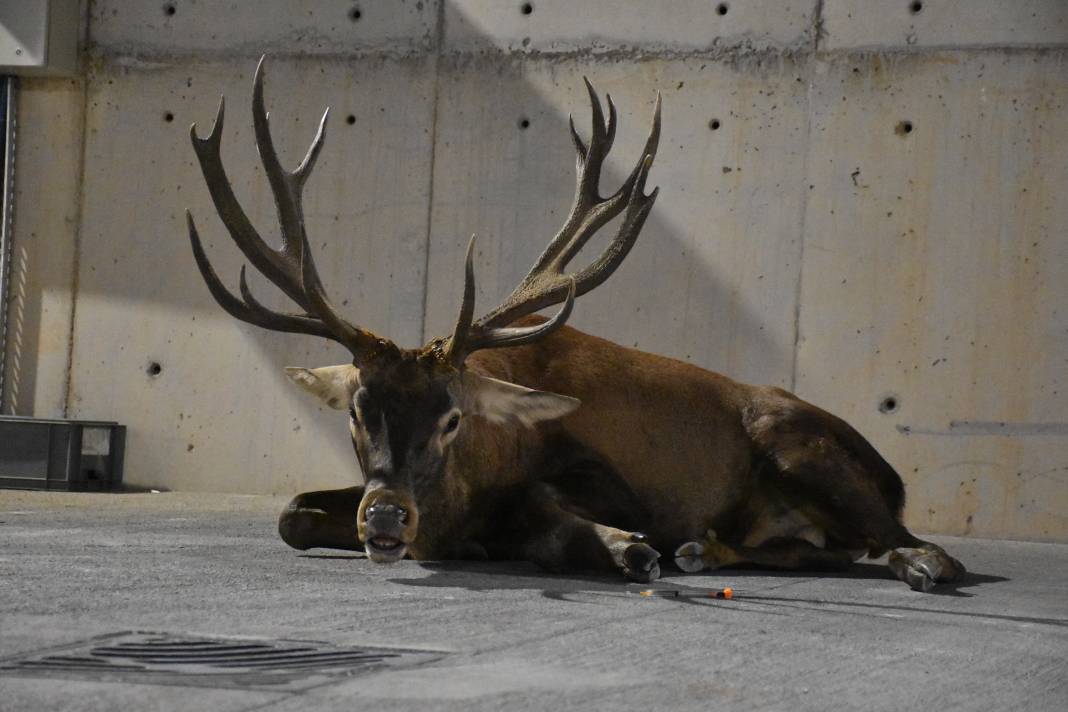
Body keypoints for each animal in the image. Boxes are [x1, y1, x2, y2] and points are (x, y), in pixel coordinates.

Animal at [185, 55, 969, 593]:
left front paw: (624, 544)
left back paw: (906, 562)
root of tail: (893, 473)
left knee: (923, 547)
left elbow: (556, 511)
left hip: (800, 446)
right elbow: (290, 513)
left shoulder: (613, 479)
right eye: (354, 409)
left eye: (452, 418)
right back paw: (708, 550)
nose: (385, 519)